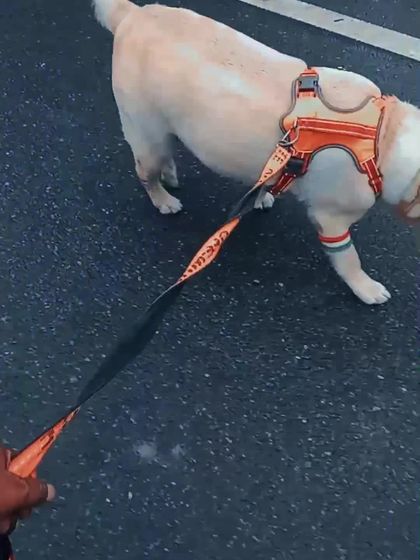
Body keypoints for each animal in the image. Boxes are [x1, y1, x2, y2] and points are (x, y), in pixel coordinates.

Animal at [91, 0, 420, 305]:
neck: (381, 136)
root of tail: (134, 14)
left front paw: (262, 197)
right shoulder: (332, 218)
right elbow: (349, 258)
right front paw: (367, 288)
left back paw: (170, 175)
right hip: (147, 132)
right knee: (146, 171)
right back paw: (164, 200)